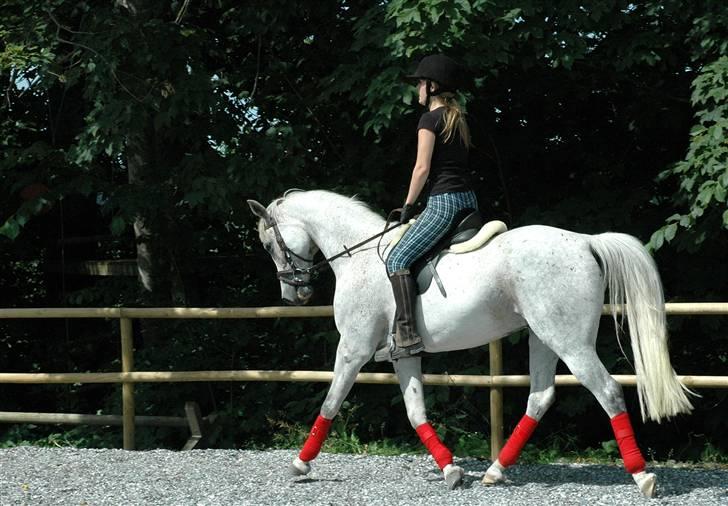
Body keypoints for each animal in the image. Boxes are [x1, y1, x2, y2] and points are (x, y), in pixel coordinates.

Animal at [249, 188, 692, 496]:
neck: (358, 256)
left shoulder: (353, 349)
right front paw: (451, 469)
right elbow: (415, 411)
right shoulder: (402, 355)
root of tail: (585, 241)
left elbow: (330, 401)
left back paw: (642, 476)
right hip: (543, 337)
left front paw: (299, 464)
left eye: (269, 244)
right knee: (540, 396)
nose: (293, 296)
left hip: (568, 340)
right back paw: (495, 471)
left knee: (608, 391)